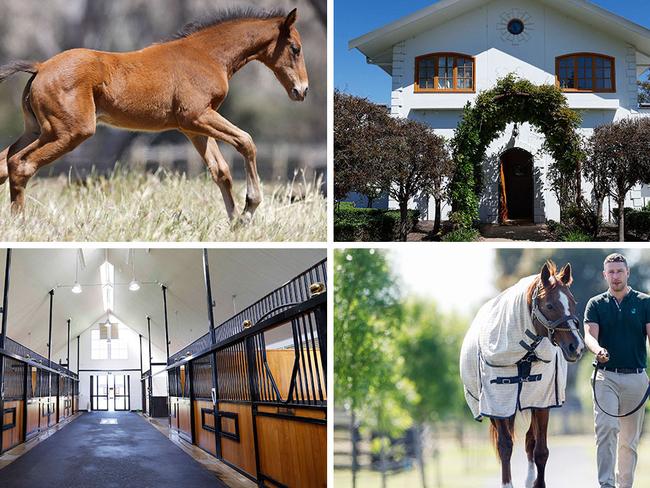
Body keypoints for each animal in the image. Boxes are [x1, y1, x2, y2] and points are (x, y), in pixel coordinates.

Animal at [0, 7, 308, 221]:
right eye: (295, 48)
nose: (302, 91)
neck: (207, 55)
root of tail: (41, 67)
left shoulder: (193, 127)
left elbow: (221, 171)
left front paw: (236, 224)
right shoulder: (197, 116)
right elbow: (246, 141)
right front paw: (250, 208)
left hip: (38, 130)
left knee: (7, 160)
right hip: (71, 131)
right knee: (21, 164)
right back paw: (20, 223)